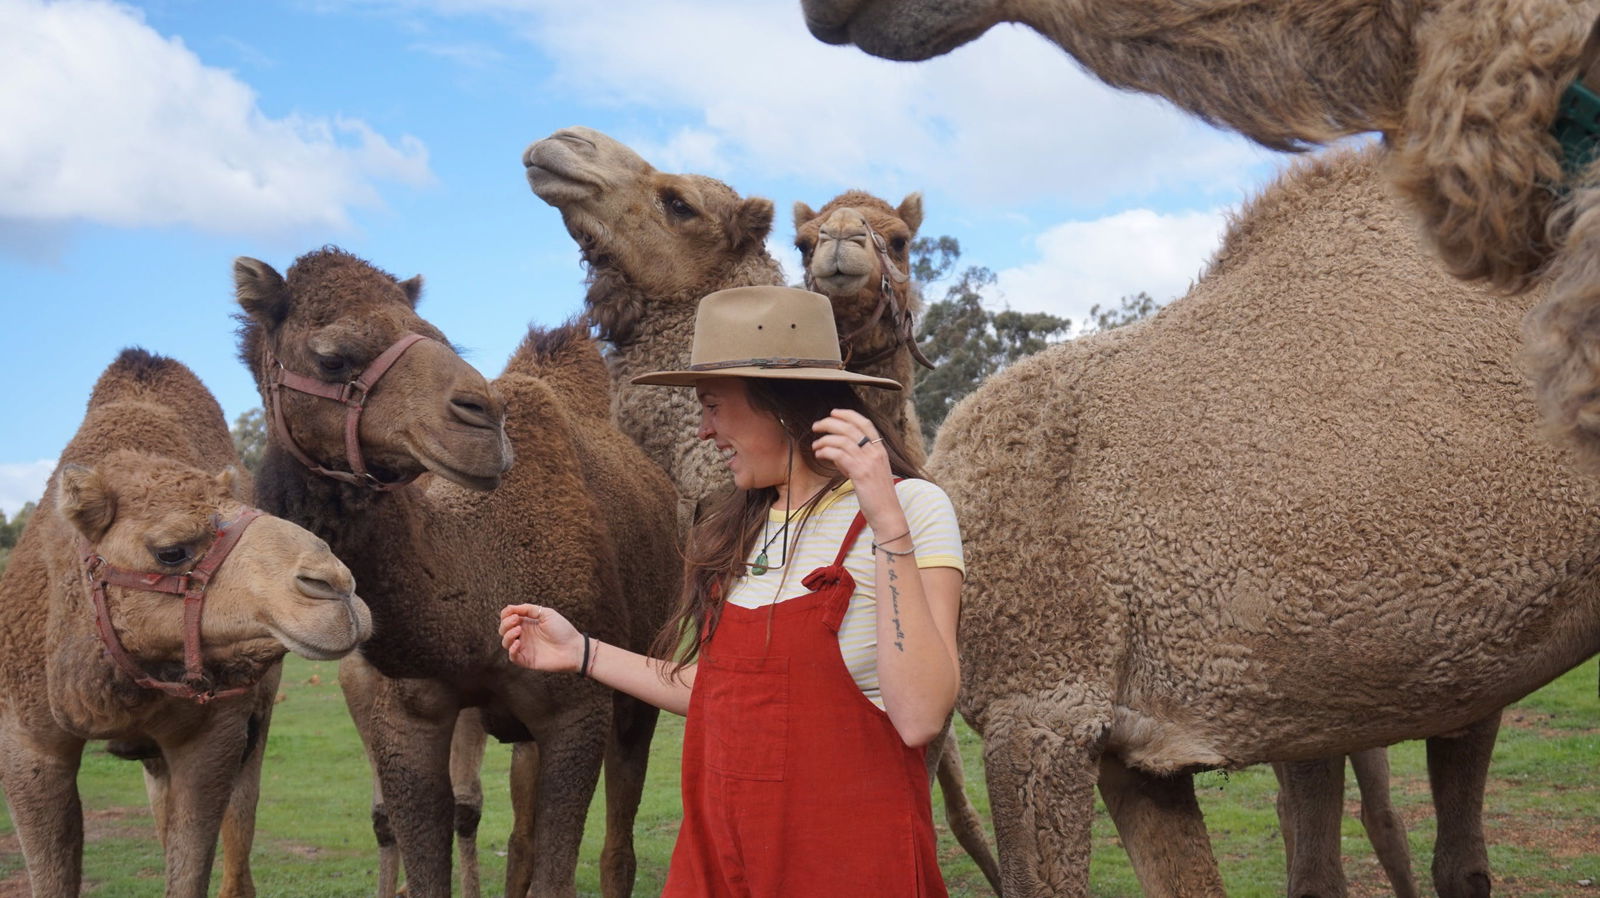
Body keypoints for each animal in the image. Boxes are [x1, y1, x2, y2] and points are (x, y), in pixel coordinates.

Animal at [233, 248, 678, 896]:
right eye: (332, 357)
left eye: (439, 338)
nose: (481, 419)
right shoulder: (406, 716)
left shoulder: (580, 709)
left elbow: (559, 873)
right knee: (521, 836)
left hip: (645, 674)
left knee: (617, 843)